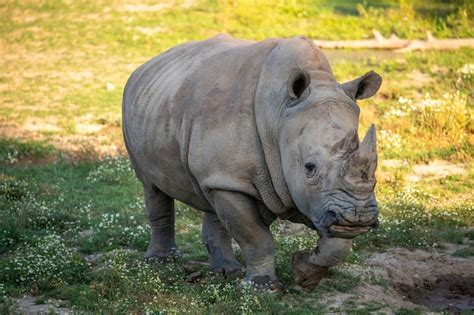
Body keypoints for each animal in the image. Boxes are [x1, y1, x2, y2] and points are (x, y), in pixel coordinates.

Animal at [122, 34, 382, 292]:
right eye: (309, 167)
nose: (359, 217)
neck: (279, 117)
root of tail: (146, 65)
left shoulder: (325, 201)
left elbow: (338, 245)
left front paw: (304, 275)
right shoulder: (236, 179)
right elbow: (255, 236)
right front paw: (263, 288)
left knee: (210, 195)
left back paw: (226, 272)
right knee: (152, 186)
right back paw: (160, 262)